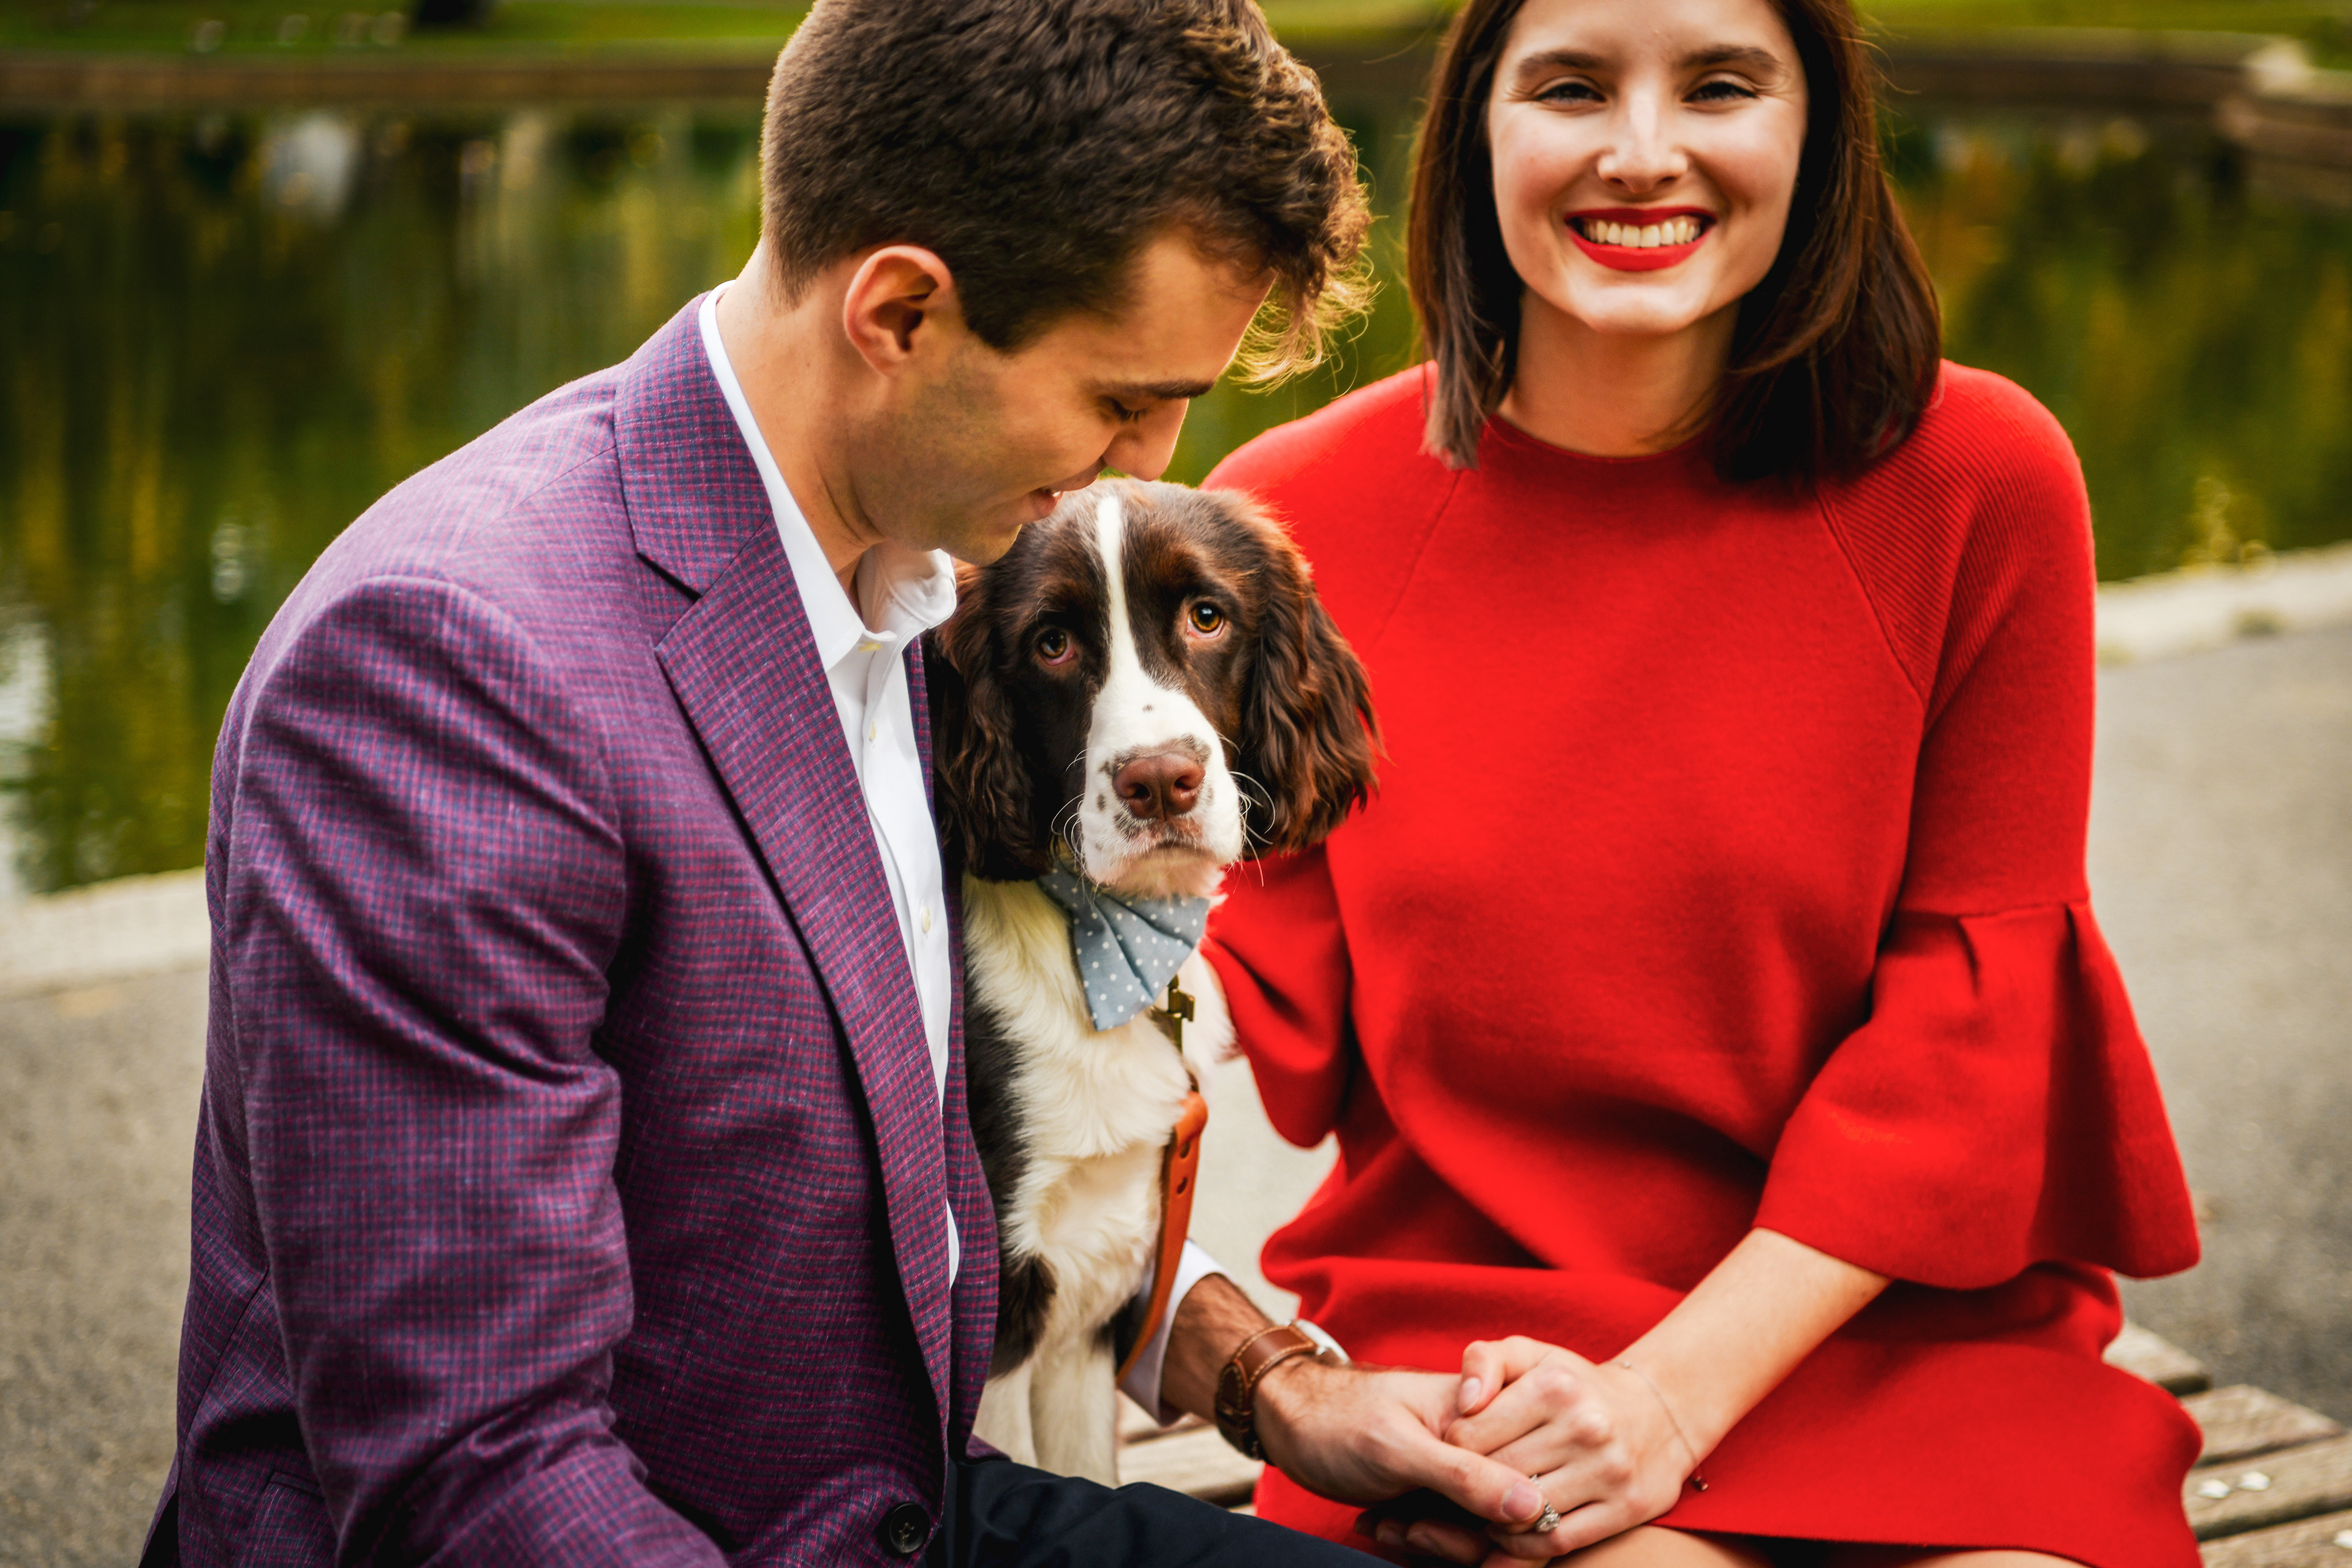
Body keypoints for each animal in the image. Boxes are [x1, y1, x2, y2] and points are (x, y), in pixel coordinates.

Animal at [926, 478, 1377, 1483]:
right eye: (1051, 642)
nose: (1161, 782)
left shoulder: (1096, 1287)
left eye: (1208, 616)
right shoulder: (1010, 1300)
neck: (1105, 936)